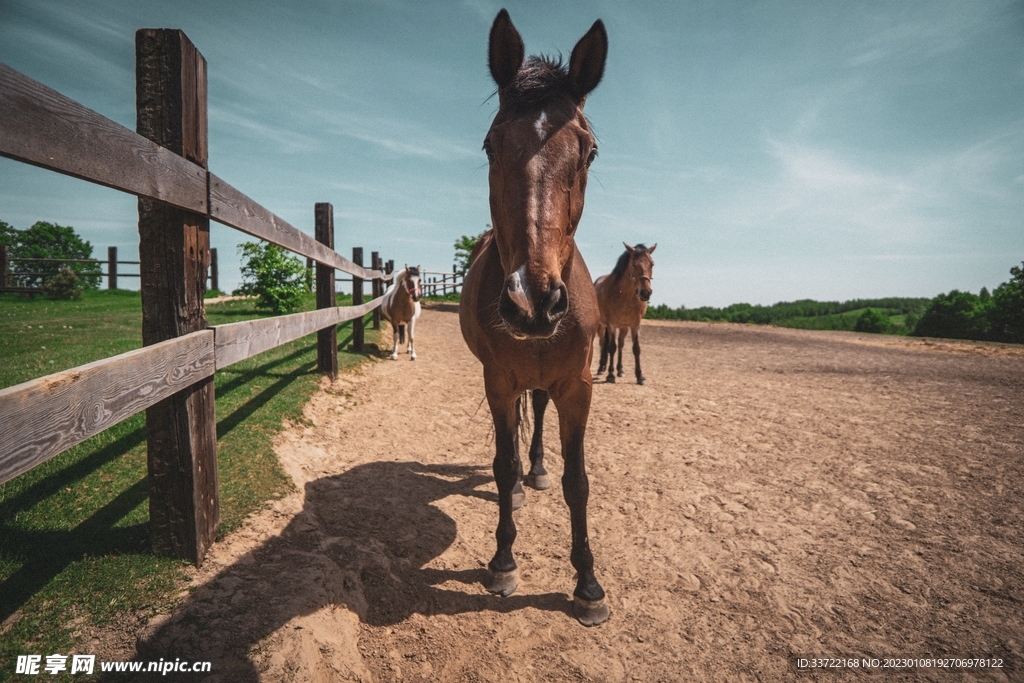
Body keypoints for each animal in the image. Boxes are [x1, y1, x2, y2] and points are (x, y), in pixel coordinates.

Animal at [595, 243, 656, 385]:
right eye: (633, 264)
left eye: (652, 264)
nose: (645, 292)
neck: (625, 295)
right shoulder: (612, 325)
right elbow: (611, 347)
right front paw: (610, 375)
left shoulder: (635, 325)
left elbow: (636, 348)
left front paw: (640, 376)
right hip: (602, 326)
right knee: (603, 343)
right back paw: (601, 368)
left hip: (623, 327)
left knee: (621, 344)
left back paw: (620, 370)